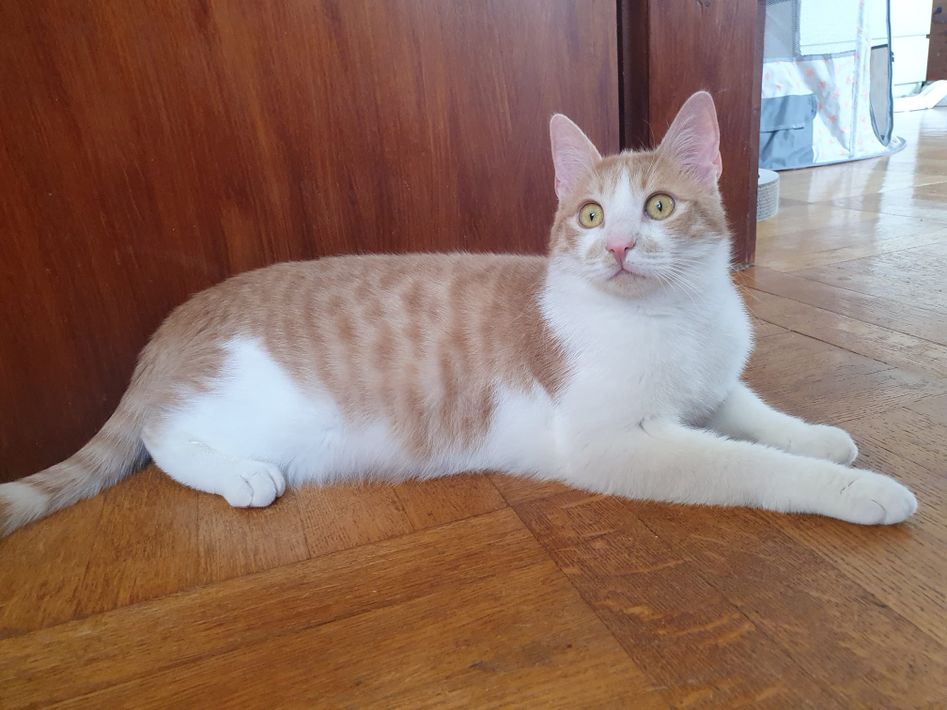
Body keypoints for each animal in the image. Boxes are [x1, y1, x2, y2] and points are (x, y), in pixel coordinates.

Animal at [0, 91, 917, 537]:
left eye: (657, 206)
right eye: (590, 216)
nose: (620, 245)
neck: (673, 316)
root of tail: (177, 320)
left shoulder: (710, 386)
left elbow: (754, 412)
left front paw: (819, 436)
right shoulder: (616, 442)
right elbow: (747, 464)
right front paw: (855, 487)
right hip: (244, 410)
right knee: (161, 438)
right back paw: (237, 475)